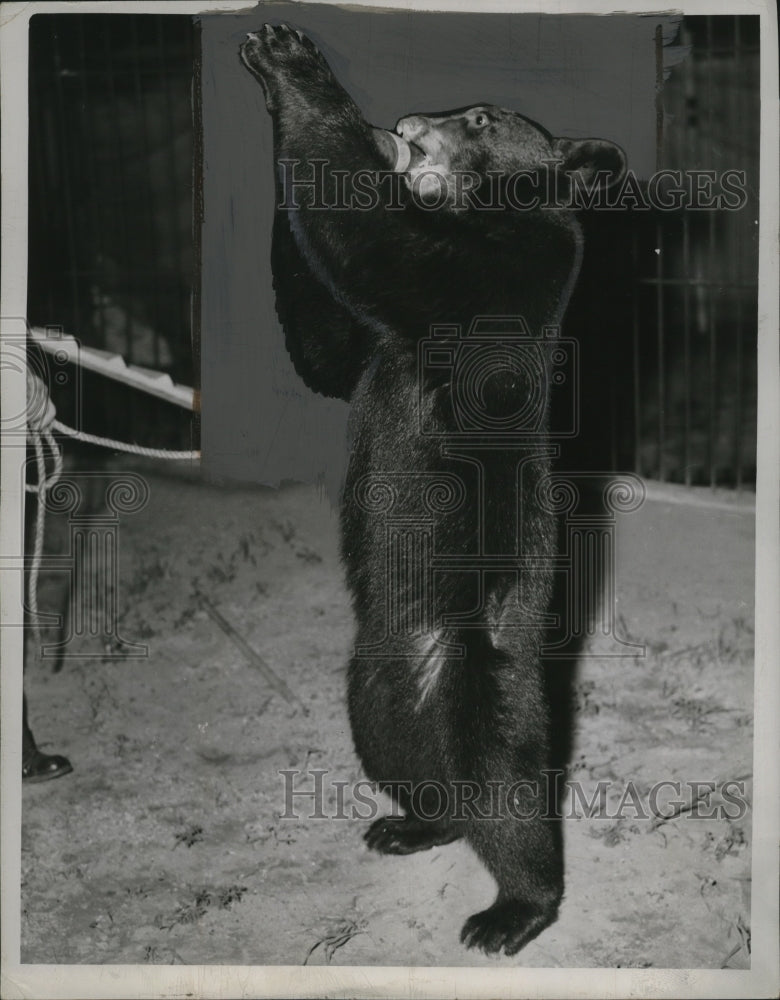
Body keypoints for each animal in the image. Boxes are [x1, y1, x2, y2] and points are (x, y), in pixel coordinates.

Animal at [240, 23, 626, 956]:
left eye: (482, 117)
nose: (413, 121)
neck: (478, 211)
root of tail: (420, 660)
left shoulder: (501, 274)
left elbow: (377, 242)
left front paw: (289, 59)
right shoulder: (377, 345)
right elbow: (326, 347)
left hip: (486, 674)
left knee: (506, 793)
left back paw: (509, 913)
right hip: (369, 683)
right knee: (412, 766)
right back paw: (407, 824)